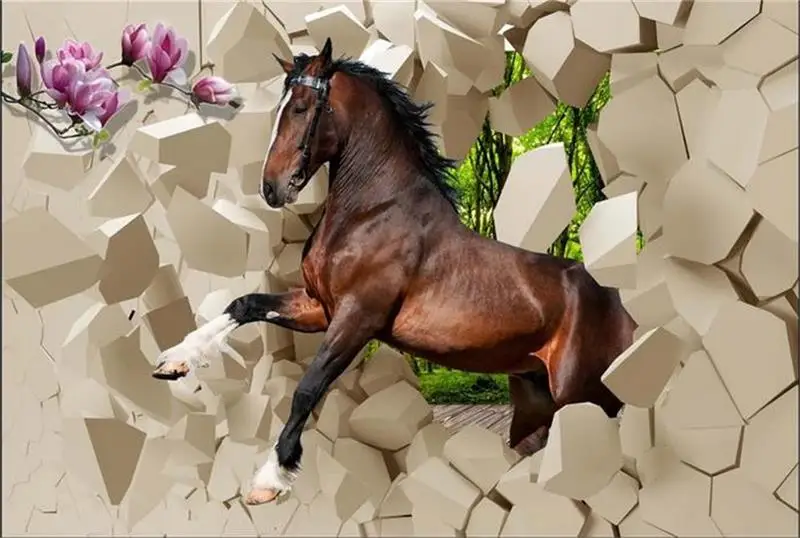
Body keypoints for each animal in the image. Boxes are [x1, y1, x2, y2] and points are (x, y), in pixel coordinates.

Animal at [152, 38, 636, 506]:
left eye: (303, 107)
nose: (272, 188)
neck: (372, 212)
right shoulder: (318, 308)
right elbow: (244, 303)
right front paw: (174, 360)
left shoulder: (357, 317)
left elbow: (307, 387)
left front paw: (271, 478)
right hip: (537, 403)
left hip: (585, 400)